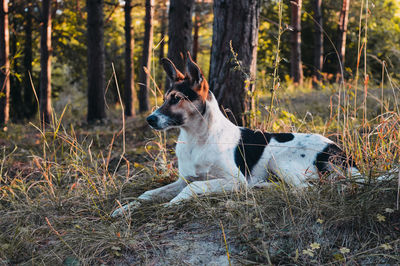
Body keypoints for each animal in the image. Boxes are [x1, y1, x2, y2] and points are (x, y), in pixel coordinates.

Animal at [111, 53, 360, 217]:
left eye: (176, 99)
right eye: (165, 98)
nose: (149, 119)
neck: (197, 139)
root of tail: (340, 151)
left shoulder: (234, 179)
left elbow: (194, 188)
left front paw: (170, 205)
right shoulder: (183, 179)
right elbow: (148, 193)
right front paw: (125, 208)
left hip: (278, 161)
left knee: (307, 188)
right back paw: (262, 186)